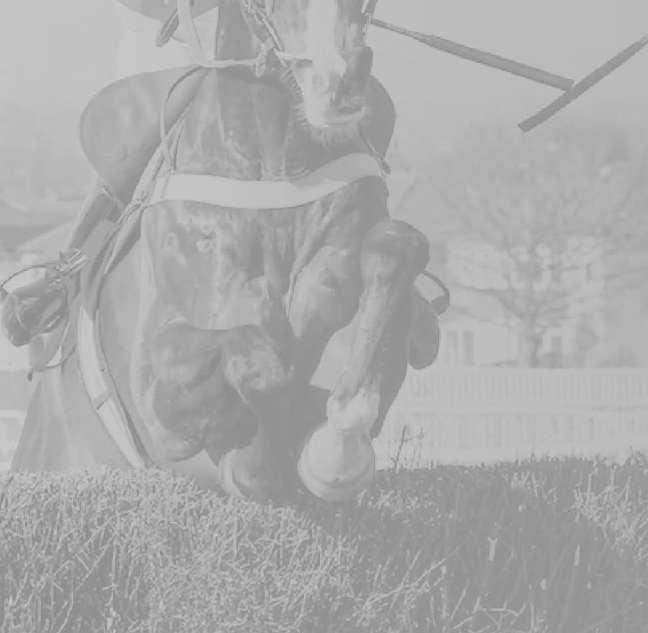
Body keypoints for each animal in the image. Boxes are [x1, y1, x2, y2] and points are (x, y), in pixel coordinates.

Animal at [11, 0, 439, 503]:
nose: (340, 76)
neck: (276, 161)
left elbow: (393, 249)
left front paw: (334, 453)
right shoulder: (160, 403)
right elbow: (260, 370)